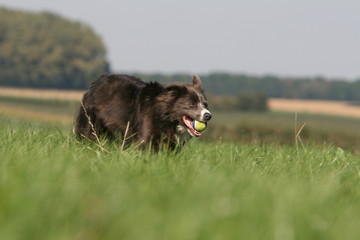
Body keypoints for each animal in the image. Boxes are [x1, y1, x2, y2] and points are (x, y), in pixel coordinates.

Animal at [74, 74, 212, 151]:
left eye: (205, 104)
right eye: (191, 104)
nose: (208, 115)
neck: (166, 117)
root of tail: (96, 82)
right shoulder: (145, 138)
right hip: (91, 123)